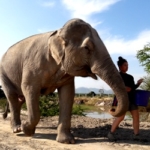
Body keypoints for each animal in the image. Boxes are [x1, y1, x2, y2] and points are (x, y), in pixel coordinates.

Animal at [0, 18, 129, 144]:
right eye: (87, 48)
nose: (112, 109)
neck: (58, 32)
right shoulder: (33, 66)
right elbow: (29, 88)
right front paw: (27, 130)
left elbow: (68, 93)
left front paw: (67, 141)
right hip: (4, 75)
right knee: (12, 96)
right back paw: (17, 129)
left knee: (20, 99)